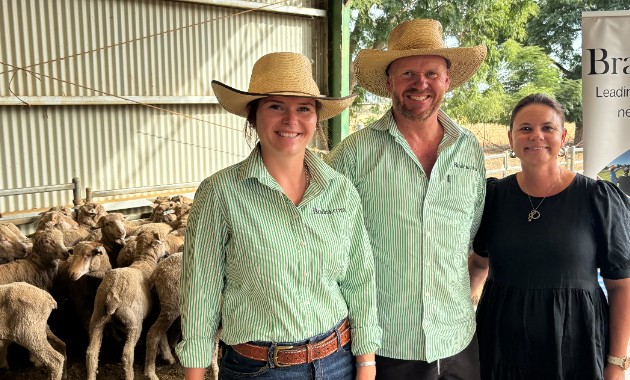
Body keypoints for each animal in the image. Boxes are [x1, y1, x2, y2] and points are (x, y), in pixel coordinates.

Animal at [87, 230, 170, 380]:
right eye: (163, 242)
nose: (167, 252)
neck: (144, 261)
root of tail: (112, 293)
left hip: (97, 318)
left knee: (91, 352)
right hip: (133, 322)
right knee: (127, 353)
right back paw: (130, 375)